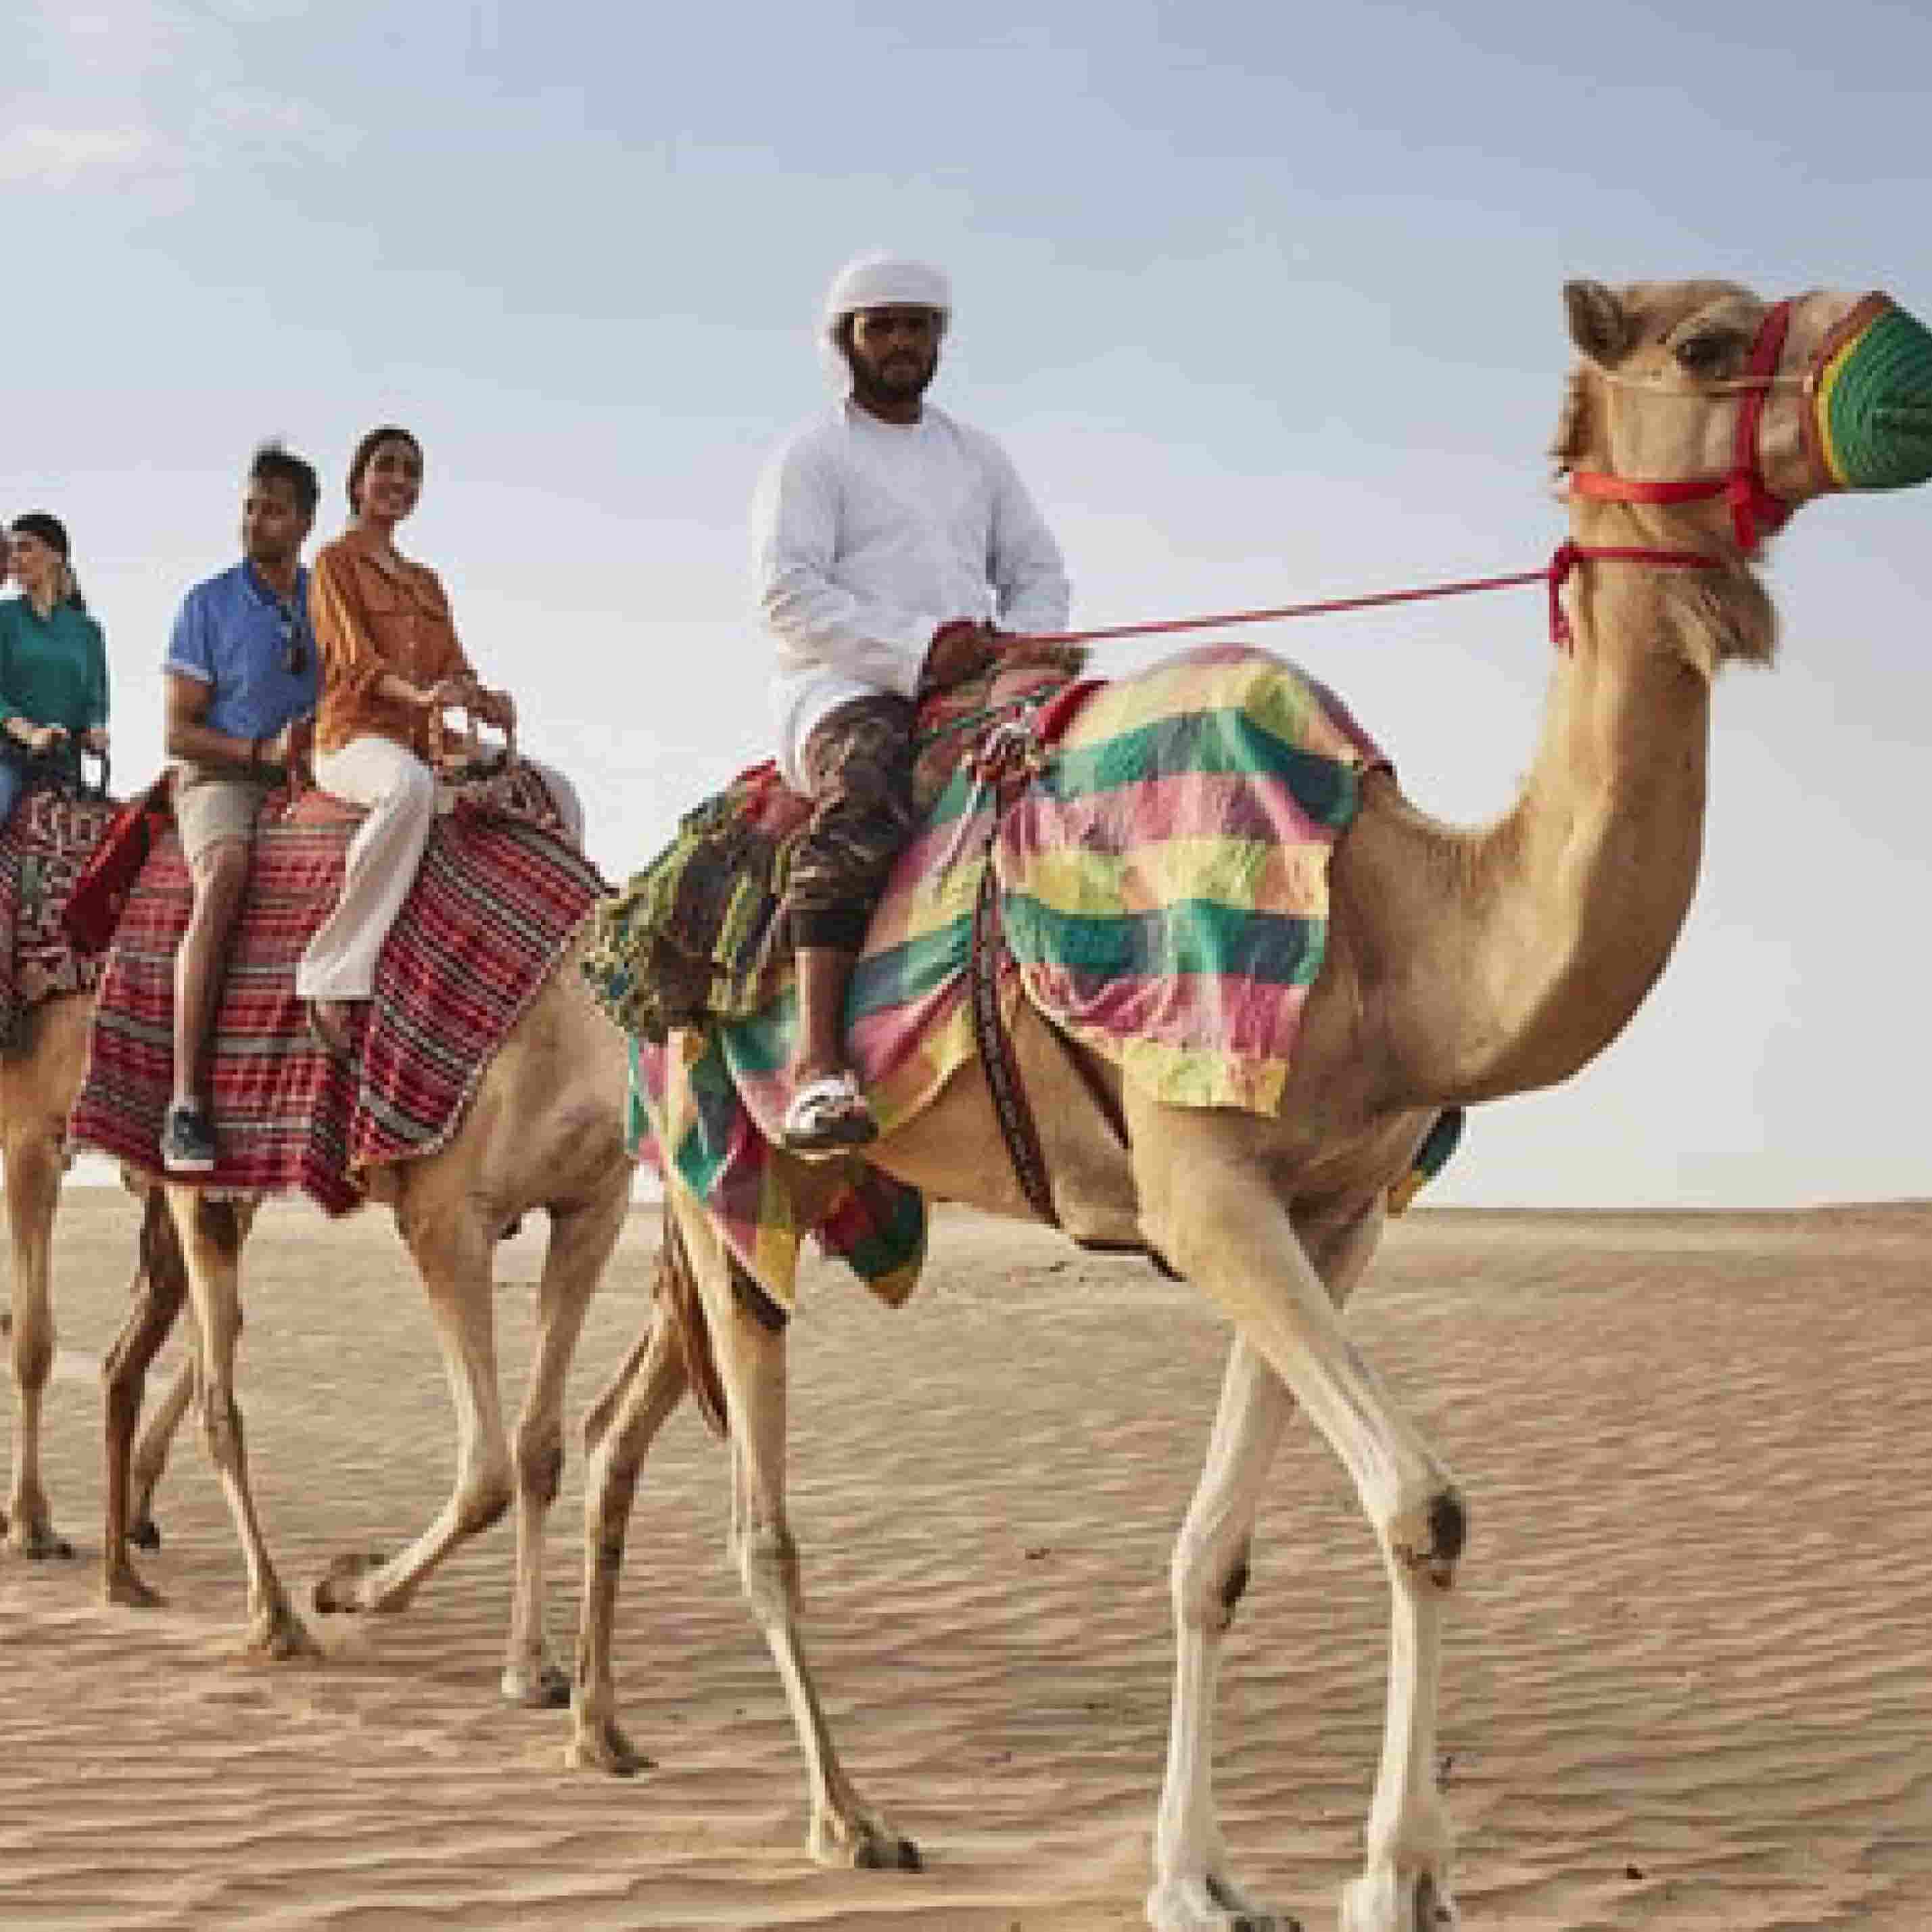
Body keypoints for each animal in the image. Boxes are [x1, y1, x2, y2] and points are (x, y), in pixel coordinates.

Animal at [564, 279, 1932, 1932]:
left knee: (628, 1412)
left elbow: (1215, 1551)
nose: (1908, 359)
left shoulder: (1330, 1215)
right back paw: (847, 1817)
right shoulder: (1203, 1186)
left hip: (770, 1200)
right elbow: (1423, 1505)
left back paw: (595, 1728)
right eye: (1707, 343)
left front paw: (1212, 1876)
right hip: (725, 1159)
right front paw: (1392, 1881)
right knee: (759, 1516)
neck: (1393, 924)